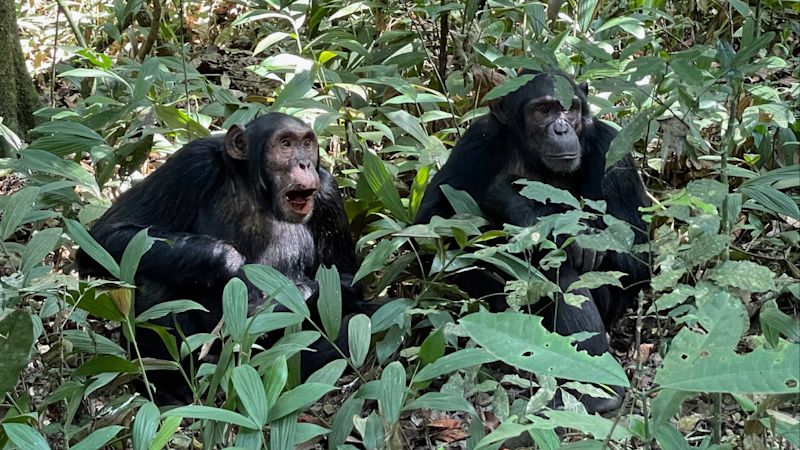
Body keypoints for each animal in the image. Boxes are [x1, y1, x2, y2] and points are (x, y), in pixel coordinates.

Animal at [76, 112, 360, 404]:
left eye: (306, 143)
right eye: (285, 144)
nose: (304, 163)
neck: (258, 193)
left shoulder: (328, 195)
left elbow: (342, 282)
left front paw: (297, 294)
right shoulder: (191, 163)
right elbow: (107, 237)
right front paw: (233, 267)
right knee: (152, 283)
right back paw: (173, 390)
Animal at [418, 71, 648, 414]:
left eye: (569, 108)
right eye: (543, 111)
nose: (561, 128)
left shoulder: (613, 152)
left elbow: (639, 254)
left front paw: (570, 232)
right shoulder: (475, 142)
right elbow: (432, 223)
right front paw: (519, 207)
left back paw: (597, 389)